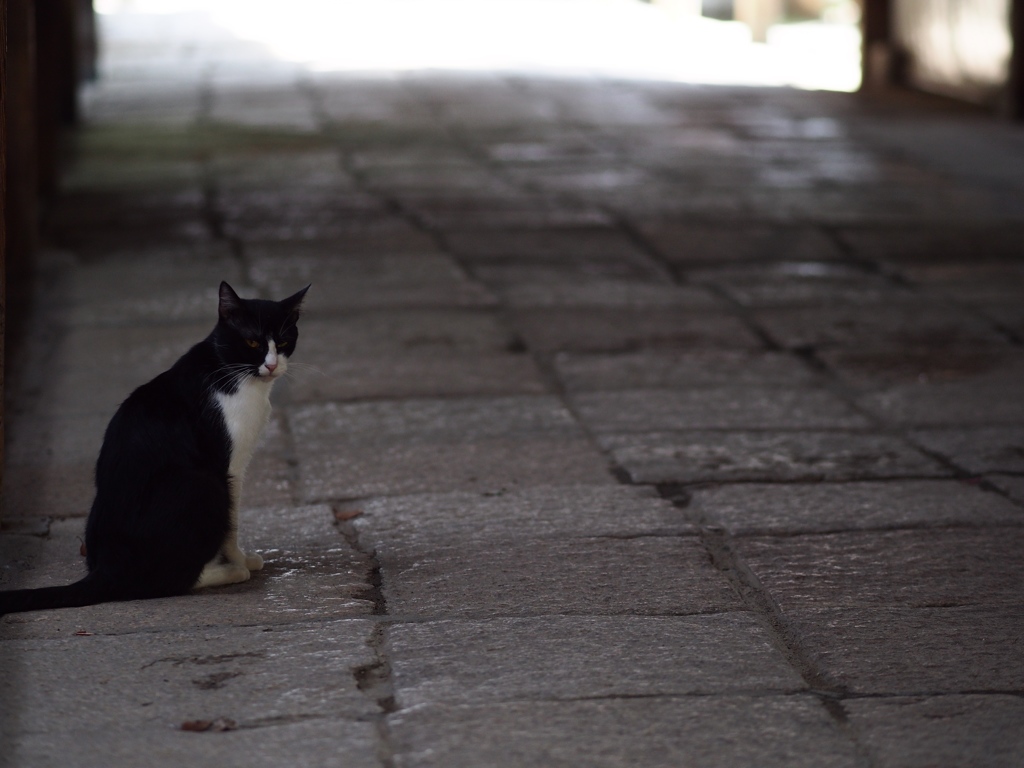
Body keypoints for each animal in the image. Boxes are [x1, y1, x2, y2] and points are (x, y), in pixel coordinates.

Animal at [0, 282, 307, 618]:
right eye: (252, 341)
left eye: (283, 341)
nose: (272, 365)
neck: (234, 375)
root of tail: (107, 569)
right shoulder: (230, 467)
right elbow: (232, 524)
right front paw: (240, 559)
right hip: (202, 484)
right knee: (166, 580)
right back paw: (230, 572)